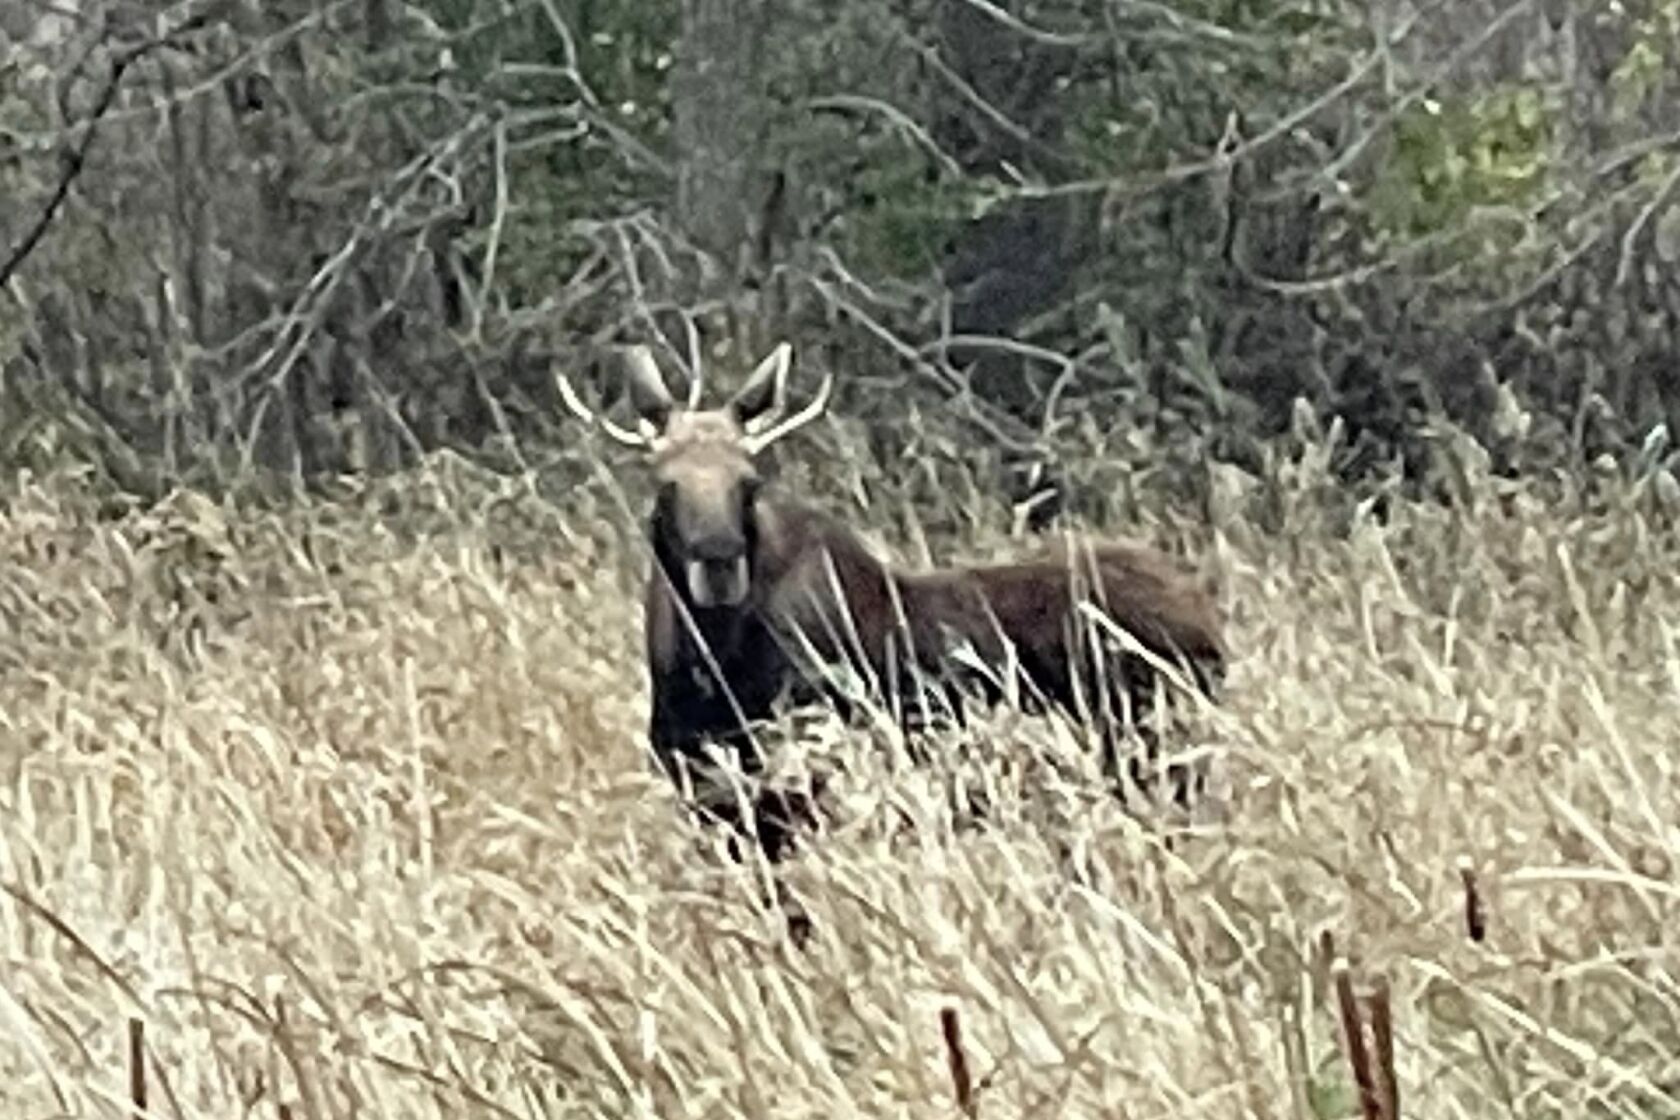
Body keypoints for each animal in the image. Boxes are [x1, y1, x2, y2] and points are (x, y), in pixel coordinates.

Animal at [556, 339, 1228, 907]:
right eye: (664, 483)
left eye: (749, 482)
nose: (719, 561)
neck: (708, 666)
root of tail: (1209, 617)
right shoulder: (717, 805)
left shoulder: (796, 797)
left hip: (1157, 762)